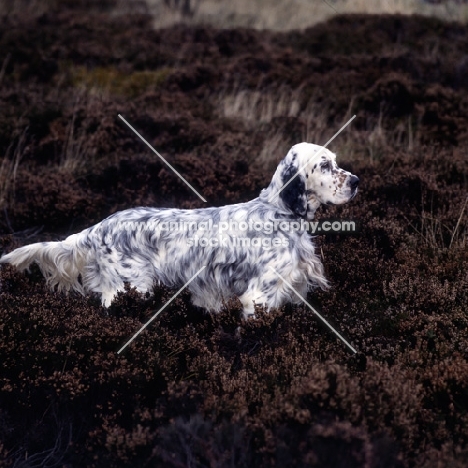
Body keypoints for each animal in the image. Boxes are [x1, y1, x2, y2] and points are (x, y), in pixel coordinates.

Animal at [0, 143, 358, 318]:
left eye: (335, 161)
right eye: (325, 165)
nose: (356, 181)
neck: (279, 213)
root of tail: (99, 227)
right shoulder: (259, 295)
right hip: (131, 287)